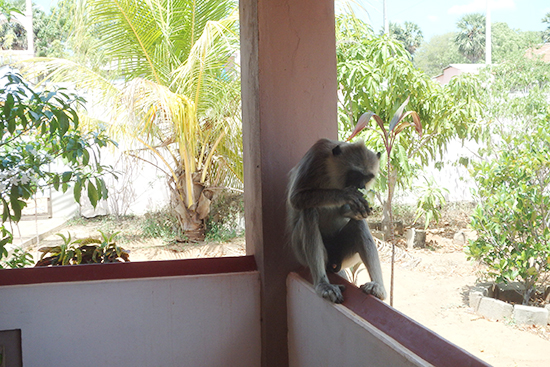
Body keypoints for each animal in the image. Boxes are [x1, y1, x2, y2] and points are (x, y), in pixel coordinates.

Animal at [288, 139, 388, 304]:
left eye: (367, 177)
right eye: (355, 174)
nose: (361, 186)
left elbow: (350, 213)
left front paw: (353, 207)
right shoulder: (316, 155)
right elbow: (295, 198)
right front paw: (345, 195)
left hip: (345, 256)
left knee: (358, 224)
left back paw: (377, 286)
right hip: (300, 251)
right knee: (309, 211)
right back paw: (323, 284)